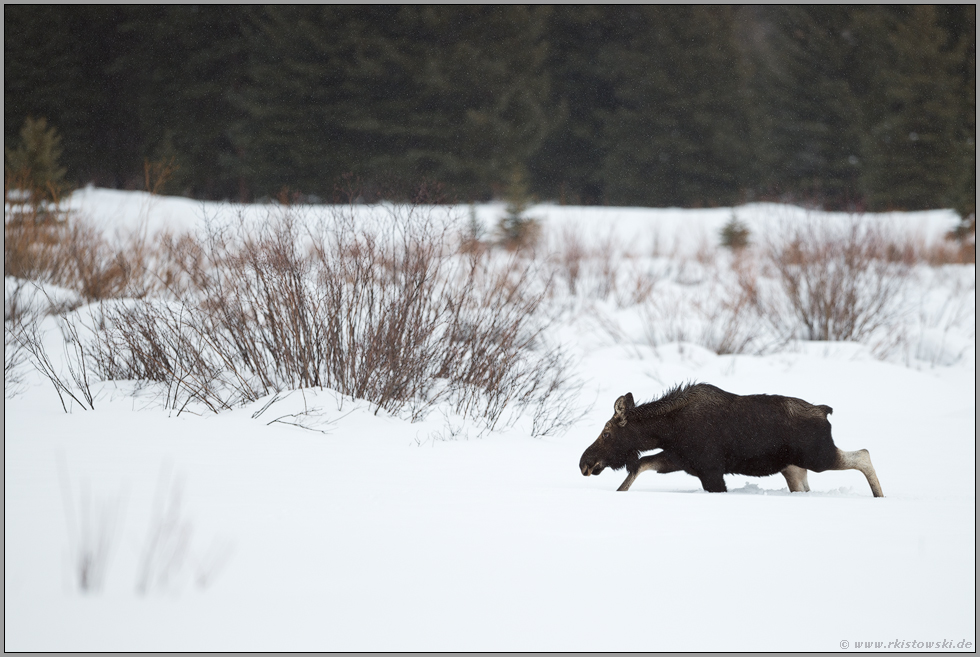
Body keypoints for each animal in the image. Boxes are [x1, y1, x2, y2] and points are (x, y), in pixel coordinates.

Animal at [580, 380, 884, 498]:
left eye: (606, 433)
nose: (585, 462)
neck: (667, 430)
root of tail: (824, 411)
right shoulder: (682, 460)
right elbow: (640, 465)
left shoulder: (711, 471)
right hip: (794, 469)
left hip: (818, 455)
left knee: (864, 454)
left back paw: (879, 496)